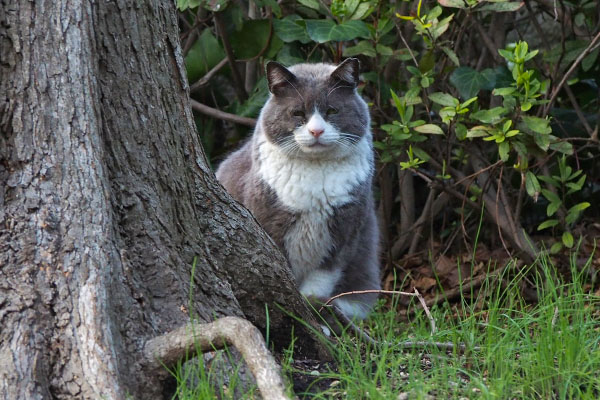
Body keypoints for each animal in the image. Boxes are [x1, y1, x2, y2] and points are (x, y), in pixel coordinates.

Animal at [216, 58, 380, 318]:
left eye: (332, 111)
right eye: (297, 113)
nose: (316, 131)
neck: (315, 173)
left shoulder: (346, 230)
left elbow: (322, 279)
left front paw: (312, 308)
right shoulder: (269, 222)